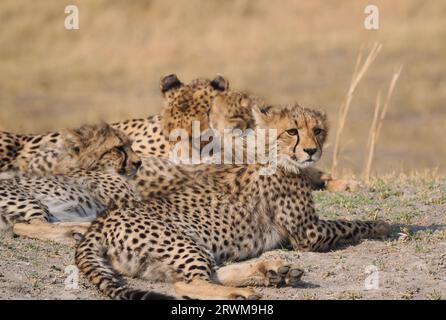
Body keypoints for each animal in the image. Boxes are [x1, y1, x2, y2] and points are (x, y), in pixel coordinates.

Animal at [0, 124, 141, 244]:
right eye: (118, 148)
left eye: (130, 145)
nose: (138, 163)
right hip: (30, 200)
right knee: (25, 226)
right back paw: (76, 234)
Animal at [75, 102, 388, 300]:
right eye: (292, 131)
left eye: (318, 130)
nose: (312, 151)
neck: (272, 152)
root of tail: (99, 223)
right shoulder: (308, 234)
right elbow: (348, 224)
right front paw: (381, 225)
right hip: (182, 241)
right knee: (187, 285)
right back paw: (247, 290)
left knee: (208, 275)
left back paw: (272, 272)